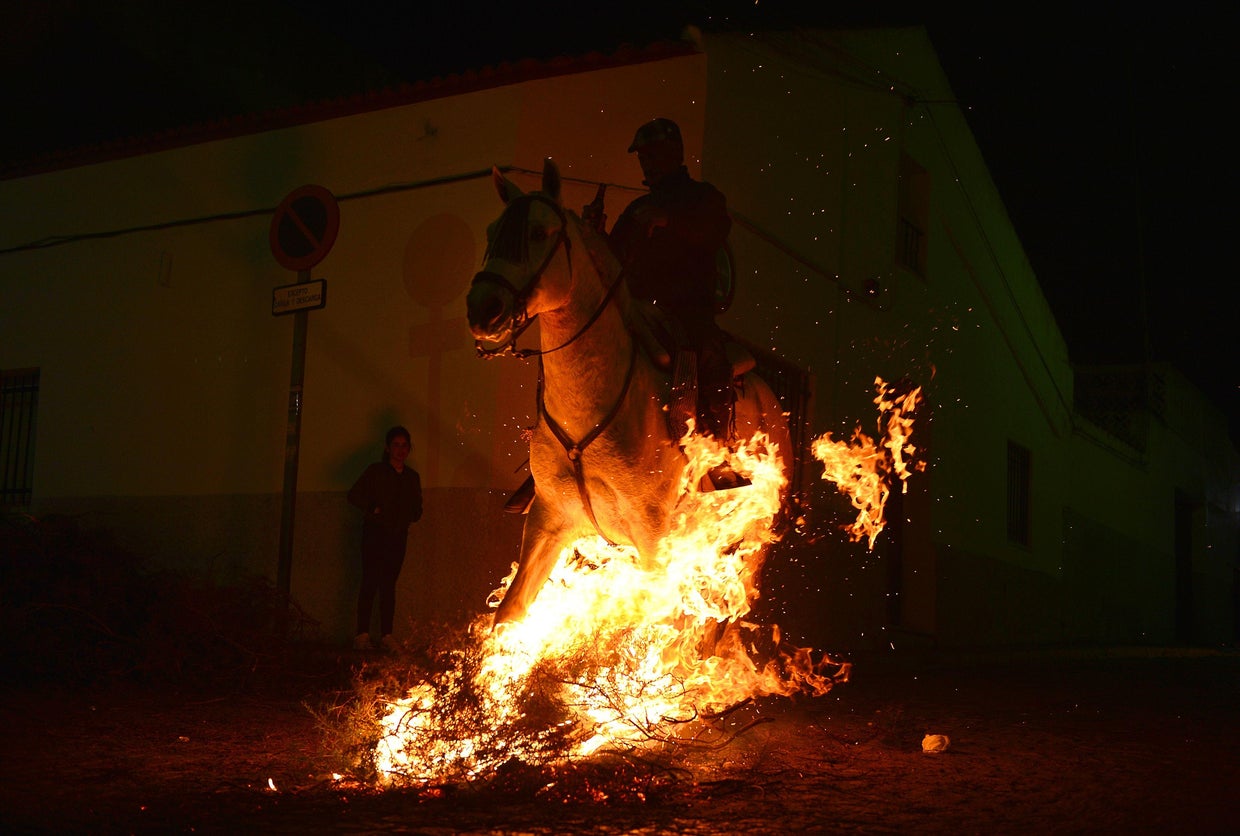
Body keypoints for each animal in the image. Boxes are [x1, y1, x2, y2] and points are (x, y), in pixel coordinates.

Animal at [466, 158, 791, 625]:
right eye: (493, 232)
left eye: (540, 232)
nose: (483, 308)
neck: (589, 411)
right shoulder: (548, 521)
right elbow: (510, 611)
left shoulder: (655, 540)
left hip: (752, 542)